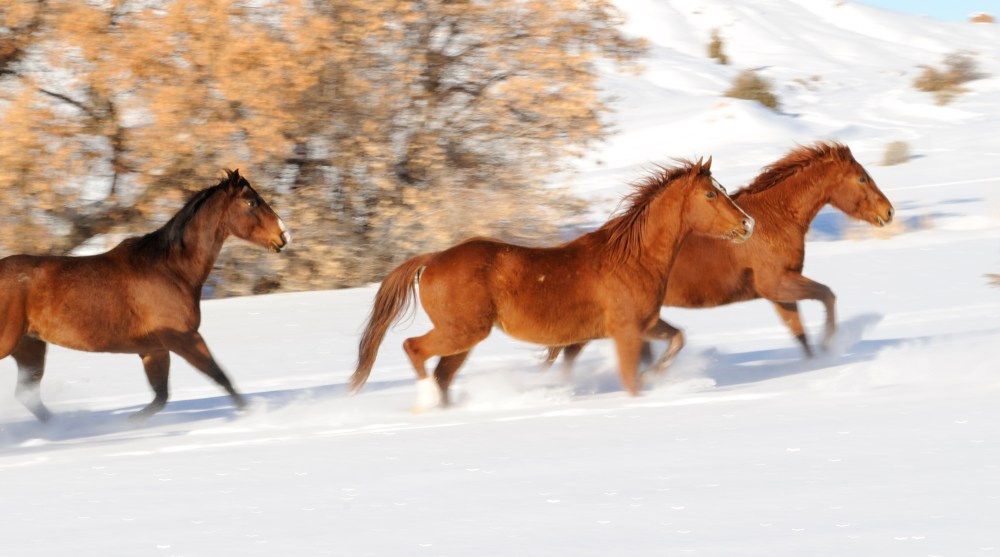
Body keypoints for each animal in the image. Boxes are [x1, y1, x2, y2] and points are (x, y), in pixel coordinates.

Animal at [0, 169, 290, 421]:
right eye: (252, 202)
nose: (284, 235)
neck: (172, 270)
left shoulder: (154, 349)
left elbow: (161, 397)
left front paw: (129, 423)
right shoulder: (183, 338)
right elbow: (220, 377)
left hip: (30, 346)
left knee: (29, 396)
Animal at [350, 158, 755, 410]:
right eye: (710, 194)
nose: (748, 224)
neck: (633, 258)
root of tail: (432, 259)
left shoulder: (644, 324)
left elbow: (676, 340)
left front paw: (657, 376)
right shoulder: (625, 330)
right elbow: (630, 379)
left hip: (464, 338)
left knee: (442, 375)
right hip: (462, 332)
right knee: (414, 349)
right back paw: (426, 401)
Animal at [546, 141, 895, 373]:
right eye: (861, 178)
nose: (888, 212)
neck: (775, 218)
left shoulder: (778, 294)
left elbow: (801, 334)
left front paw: (817, 358)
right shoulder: (778, 284)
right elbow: (827, 296)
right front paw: (830, 346)